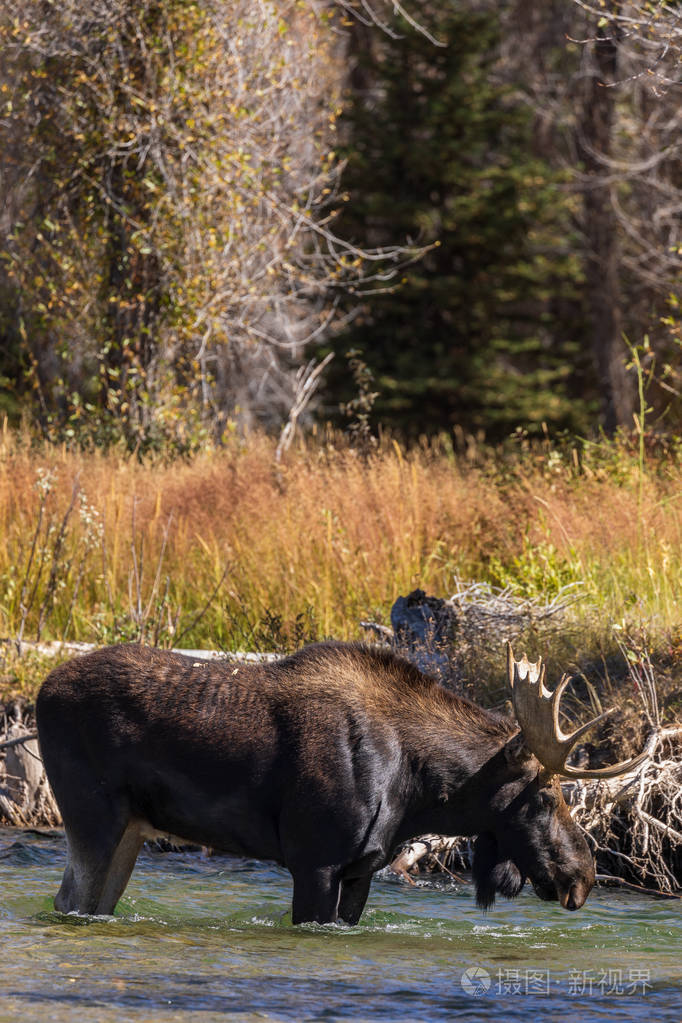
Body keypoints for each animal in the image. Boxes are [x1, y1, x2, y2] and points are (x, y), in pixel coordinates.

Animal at [34, 642, 650, 924]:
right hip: (92, 816)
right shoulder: (316, 861)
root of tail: (41, 688)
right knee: (70, 898)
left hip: (133, 830)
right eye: (546, 796)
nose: (583, 877)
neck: (420, 792)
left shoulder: (361, 870)